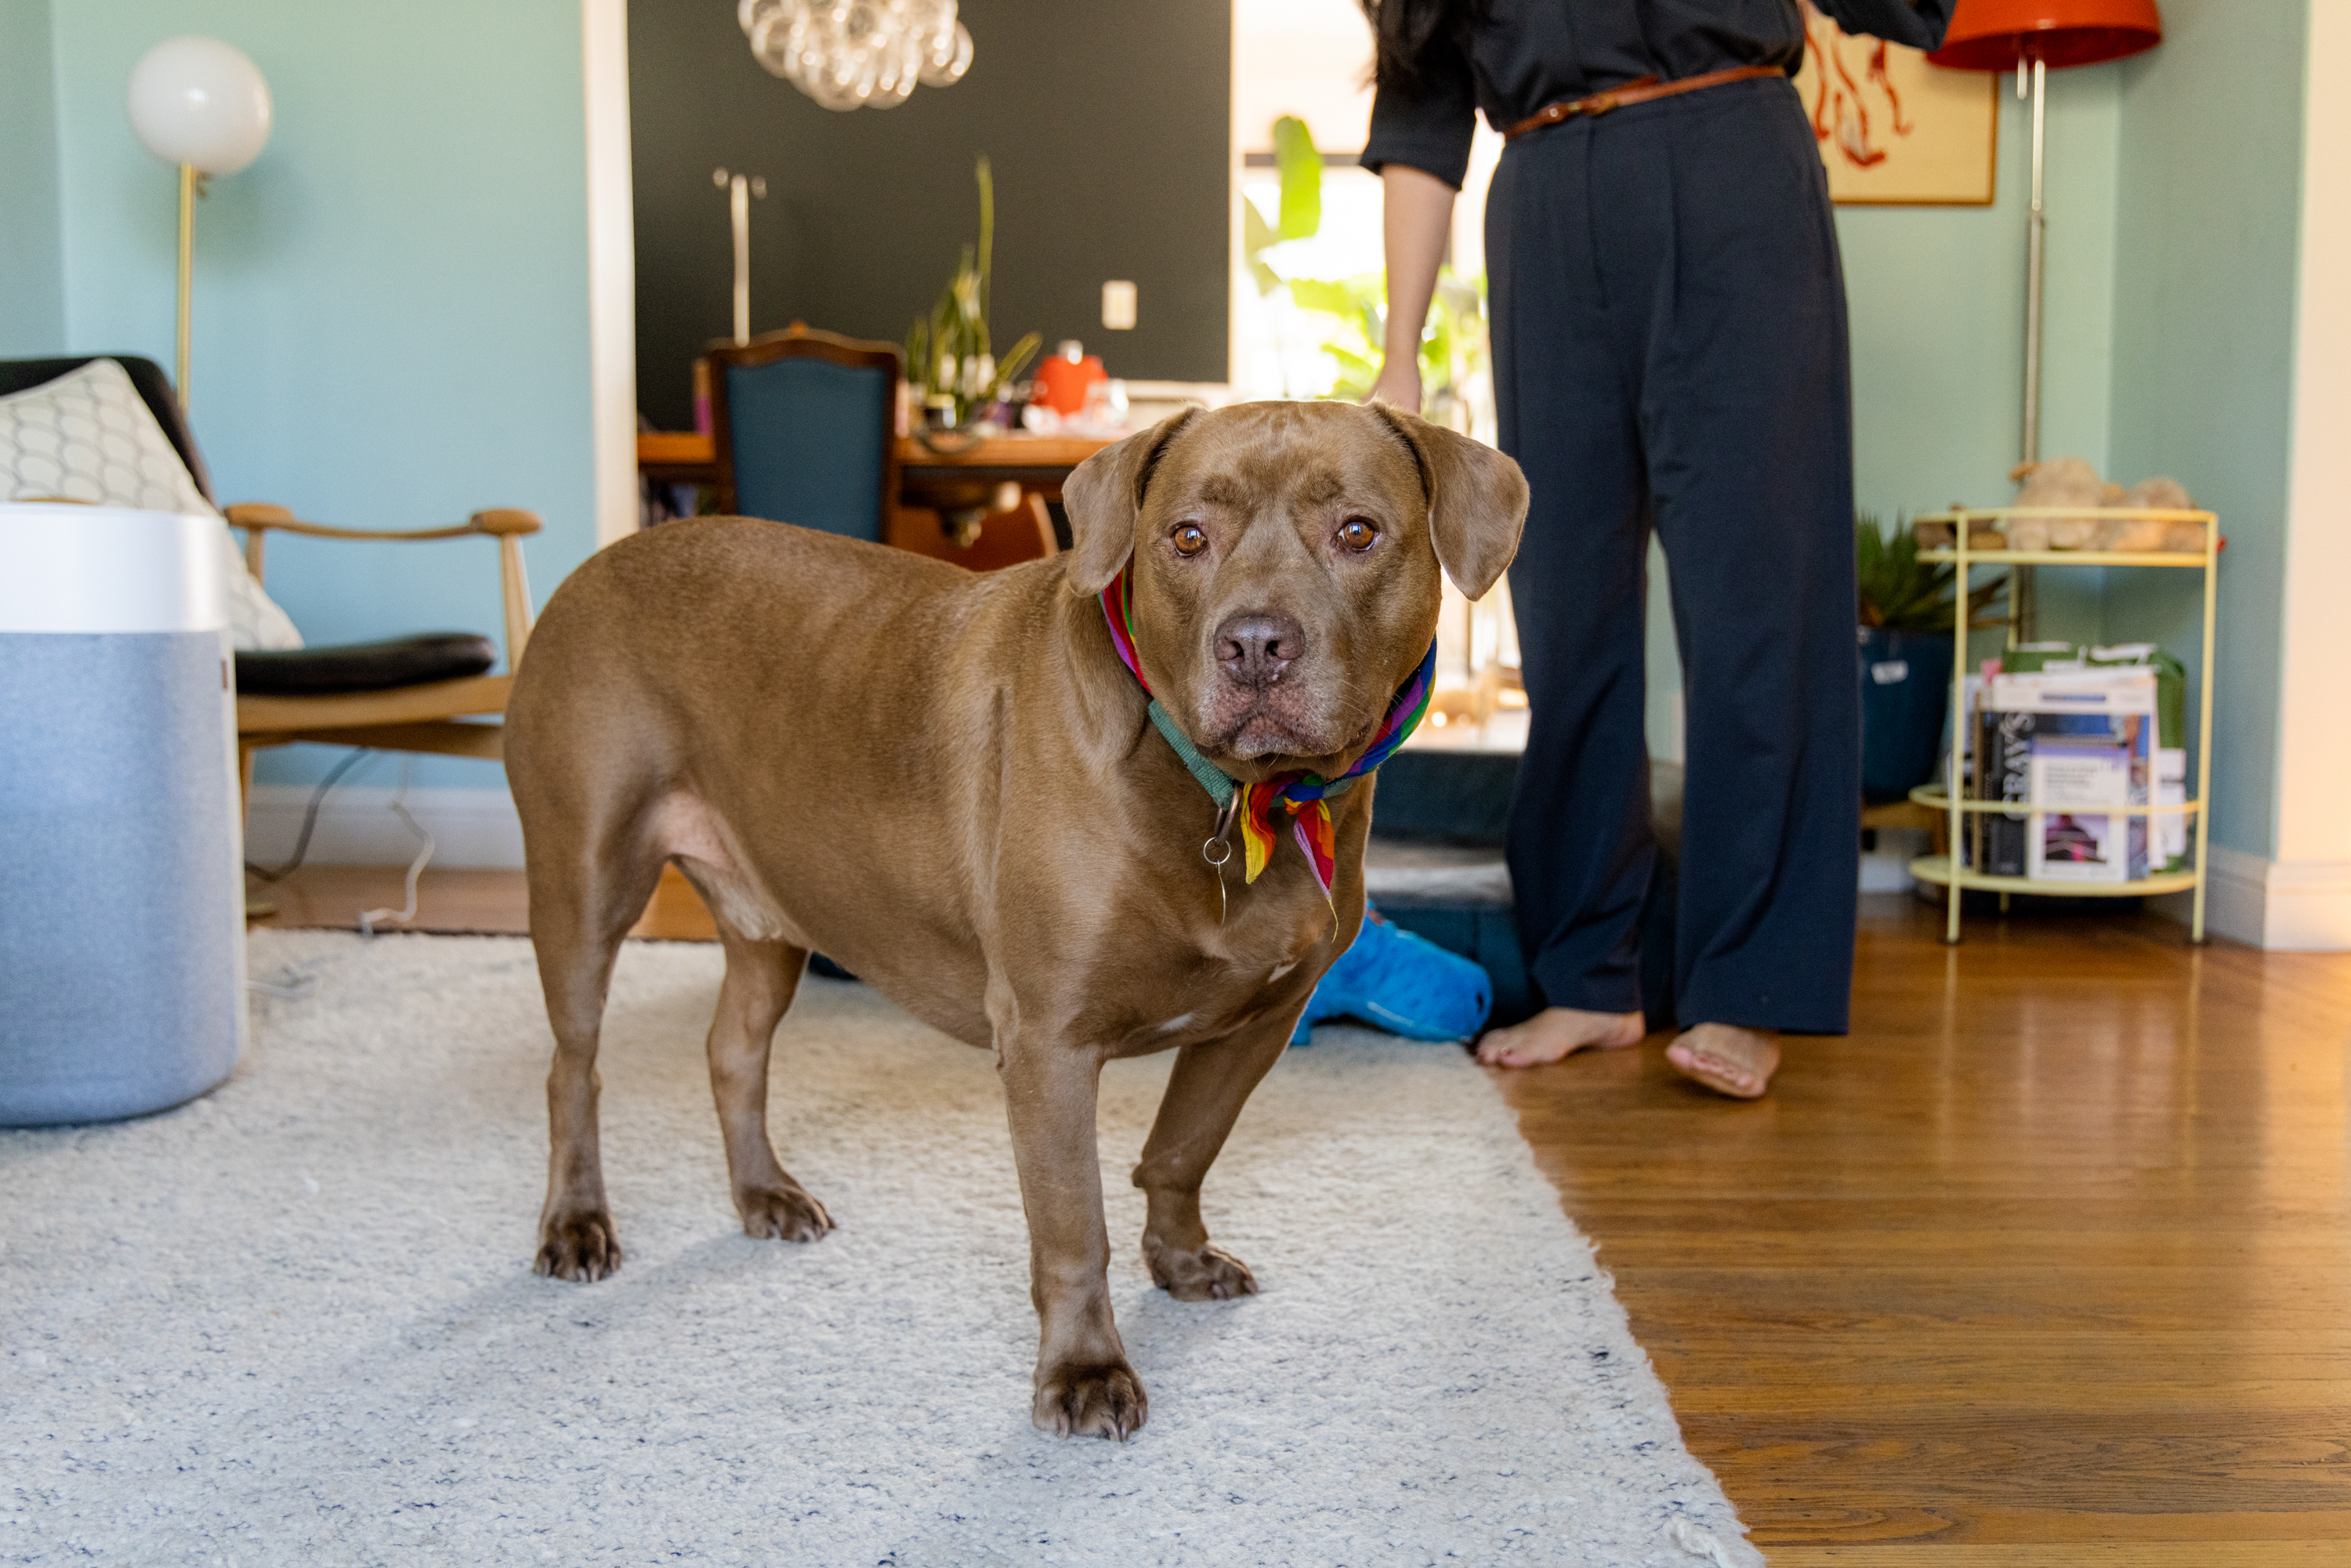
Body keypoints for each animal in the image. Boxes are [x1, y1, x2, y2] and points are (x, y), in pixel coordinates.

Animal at [503, 400, 1523, 1439]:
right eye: (1186, 538)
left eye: (1357, 532)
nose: (1254, 646)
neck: (1234, 797)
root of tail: (601, 561)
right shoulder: (1048, 1046)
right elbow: (1074, 1225)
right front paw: (1085, 1369)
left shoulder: (1258, 1023)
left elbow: (1181, 1151)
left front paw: (1179, 1260)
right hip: (585, 888)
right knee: (571, 1069)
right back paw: (576, 1223)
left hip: (771, 919)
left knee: (733, 1052)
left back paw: (762, 1194)